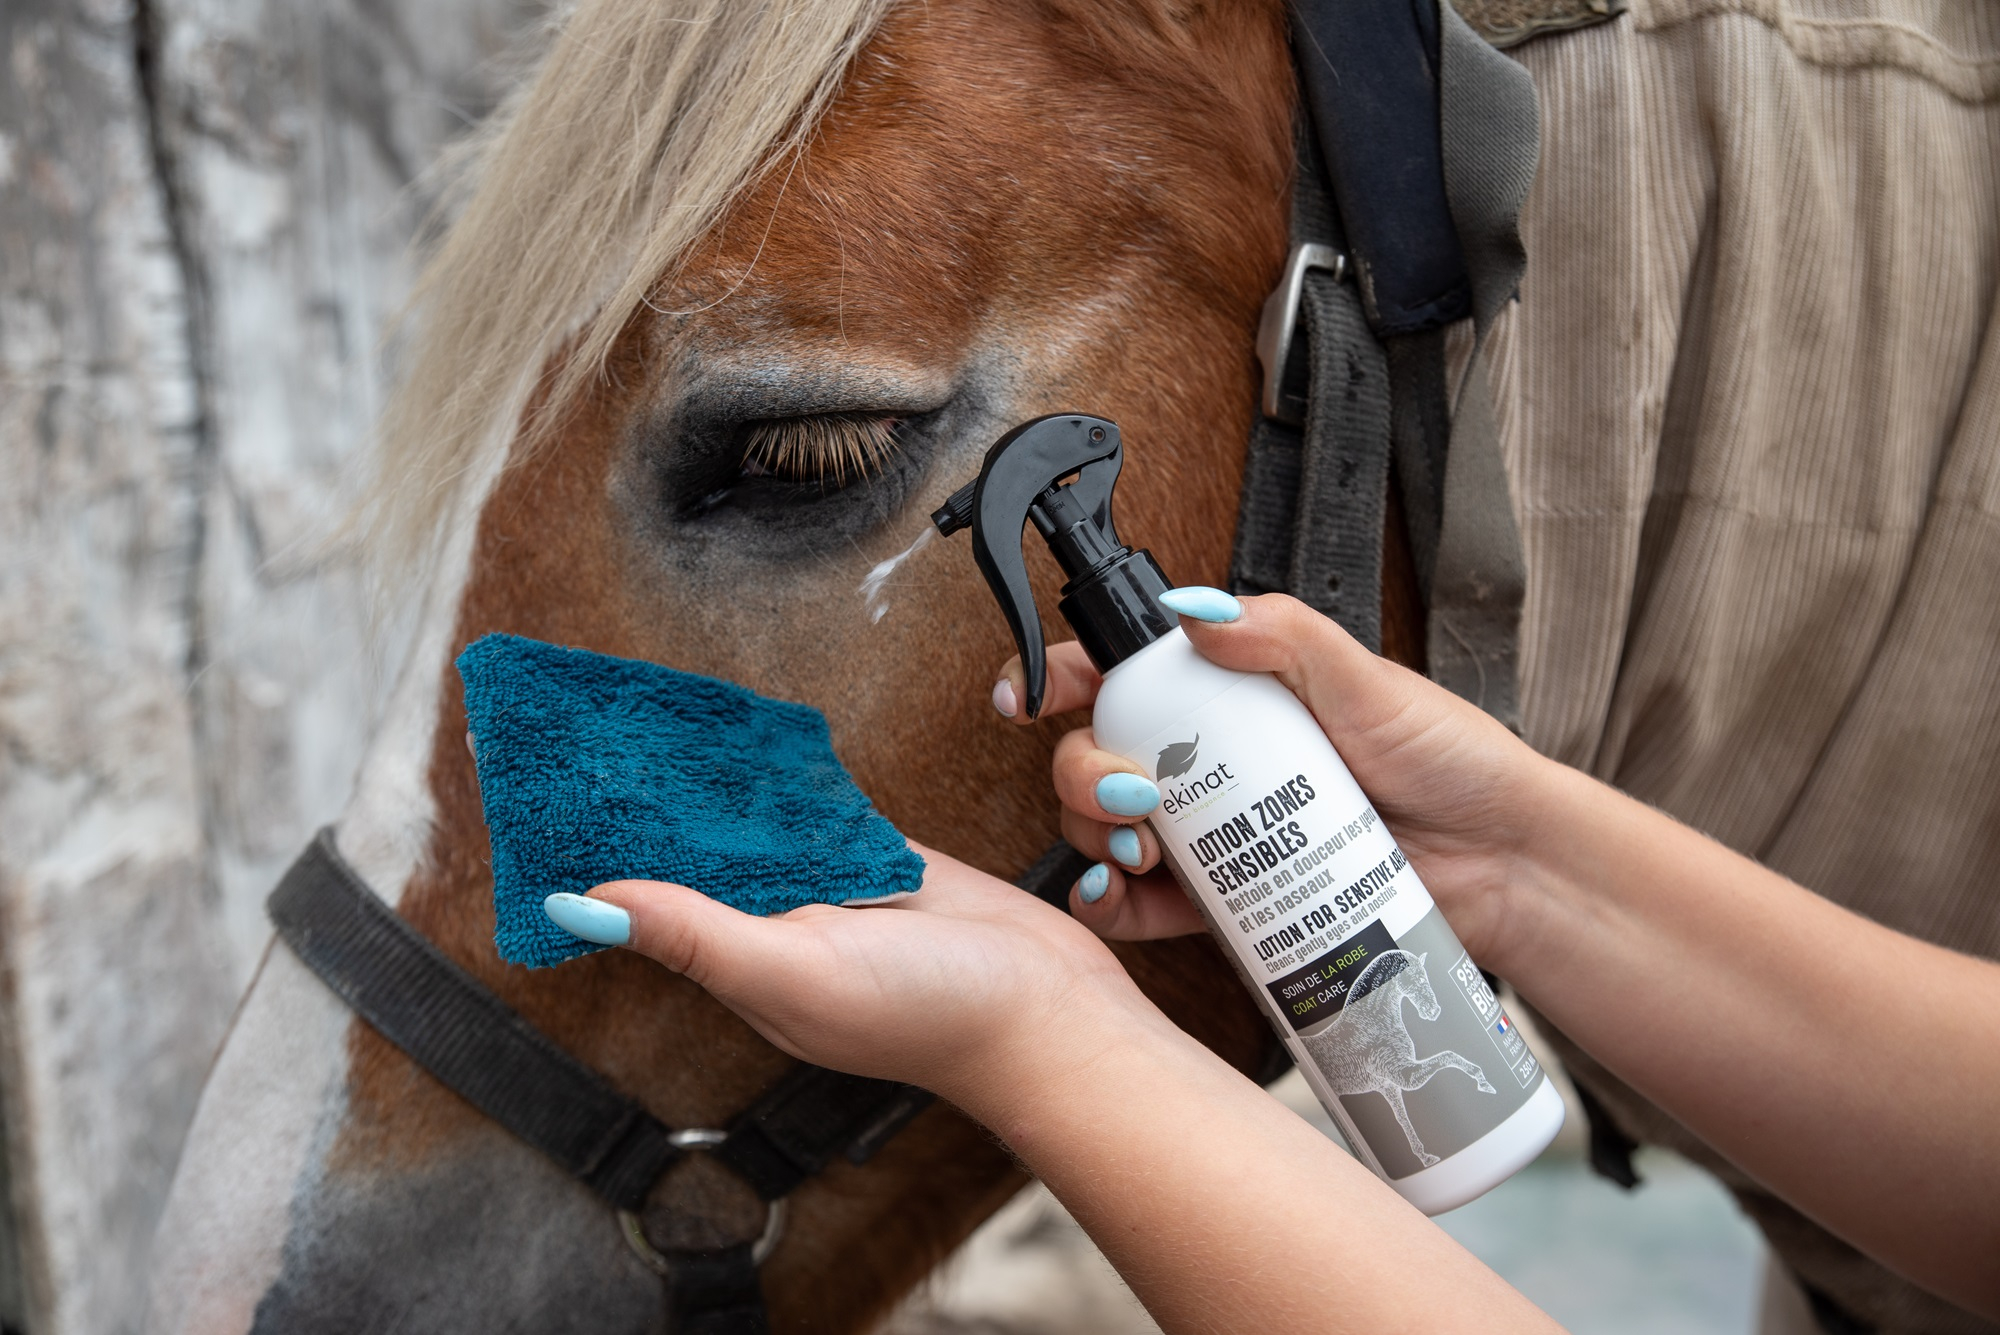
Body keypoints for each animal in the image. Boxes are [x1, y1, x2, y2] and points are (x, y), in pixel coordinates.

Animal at [1304, 947, 1496, 1167]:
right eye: (1419, 978)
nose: (1433, 1011)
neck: (1370, 1023)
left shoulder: (1389, 1086)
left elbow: (1402, 1119)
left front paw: (1425, 1158)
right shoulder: (1404, 1076)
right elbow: (1448, 1056)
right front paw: (1483, 1082)